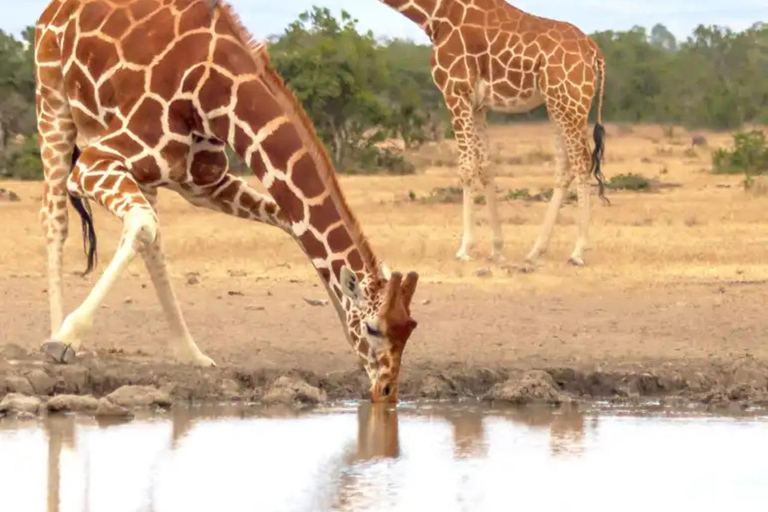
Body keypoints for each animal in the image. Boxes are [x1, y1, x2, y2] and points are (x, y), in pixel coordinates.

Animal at [34, 0, 420, 402]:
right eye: (374, 329)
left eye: (409, 328)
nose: (387, 391)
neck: (216, 96)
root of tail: (55, 9)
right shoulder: (93, 161)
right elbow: (139, 224)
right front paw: (67, 338)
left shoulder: (202, 182)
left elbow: (290, 224)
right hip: (53, 101)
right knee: (56, 218)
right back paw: (54, 334)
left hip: (144, 170)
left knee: (150, 239)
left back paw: (190, 352)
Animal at [376, 0, 608, 264]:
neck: (435, 14)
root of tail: (595, 53)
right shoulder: (478, 104)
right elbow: (485, 166)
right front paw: (497, 249)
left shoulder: (455, 90)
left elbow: (467, 167)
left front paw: (465, 248)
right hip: (556, 104)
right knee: (565, 166)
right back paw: (535, 251)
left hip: (570, 102)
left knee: (582, 162)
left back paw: (578, 251)